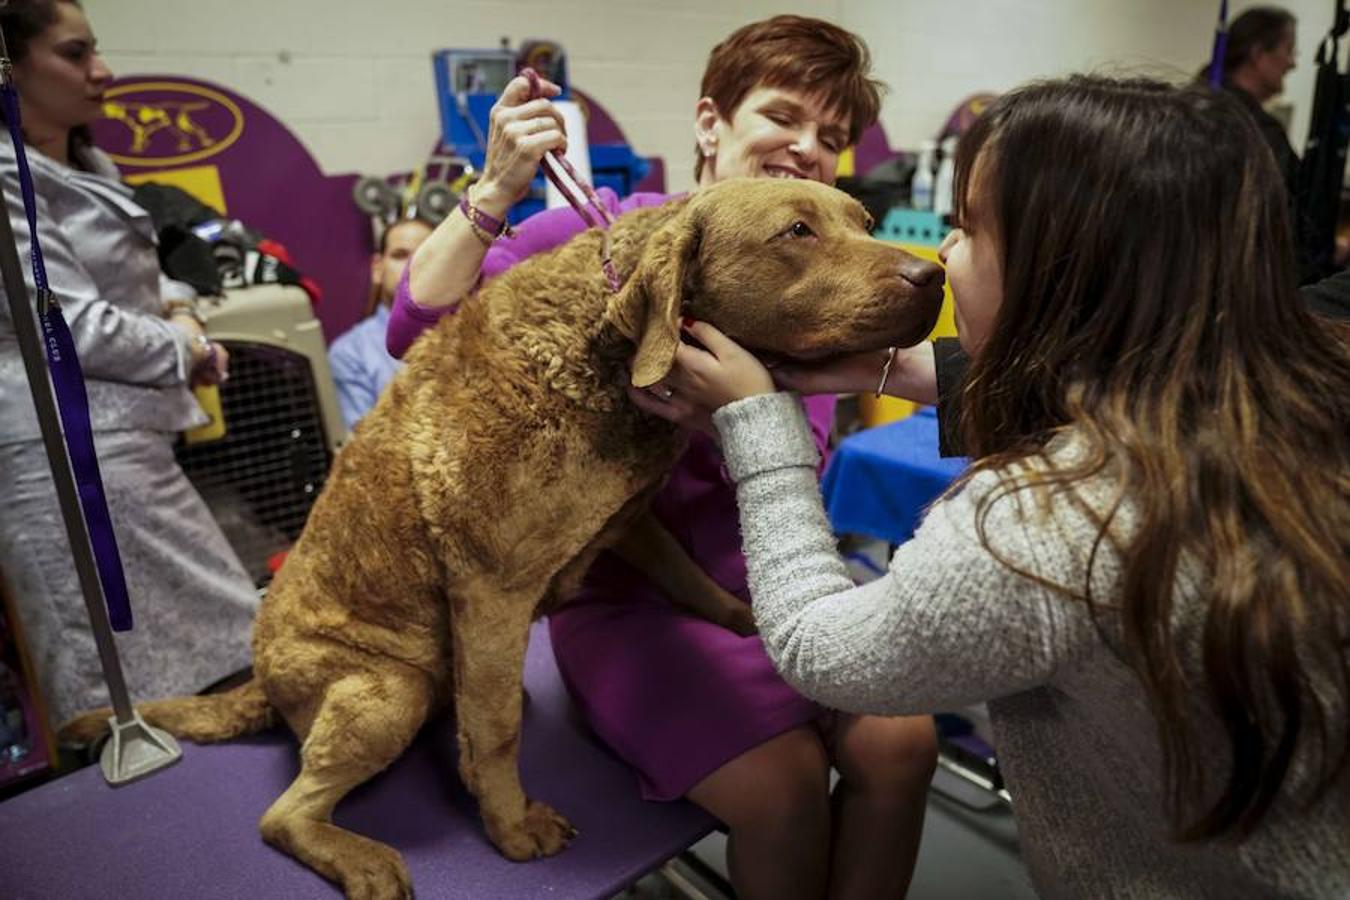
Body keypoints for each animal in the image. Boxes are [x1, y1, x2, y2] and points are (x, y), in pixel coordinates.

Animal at [60, 178, 939, 900]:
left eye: (865, 222)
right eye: (797, 231)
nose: (931, 276)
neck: (600, 348)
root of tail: (260, 682)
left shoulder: (630, 521)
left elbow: (692, 576)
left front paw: (745, 621)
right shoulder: (490, 588)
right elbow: (497, 732)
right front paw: (512, 827)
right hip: (385, 691)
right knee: (285, 813)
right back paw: (363, 856)